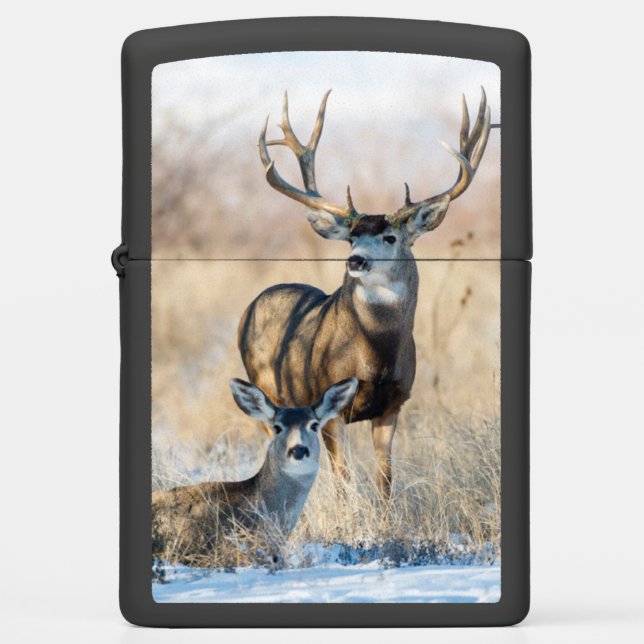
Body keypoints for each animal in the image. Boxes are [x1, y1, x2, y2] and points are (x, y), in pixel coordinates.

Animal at [238, 88, 491, 500]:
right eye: (352, 237)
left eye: (390, 237)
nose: (355, 260)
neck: (375, 356)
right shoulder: (329, 406)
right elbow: (343, 479)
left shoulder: (394, 403)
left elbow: (385, 479)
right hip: (265, 388)